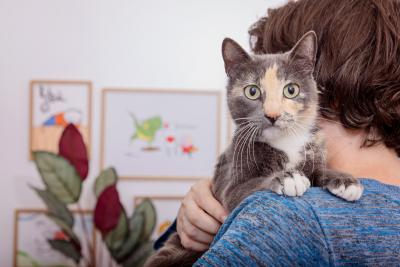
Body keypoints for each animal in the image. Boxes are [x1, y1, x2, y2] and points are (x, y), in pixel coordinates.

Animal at [145, 30, 364, 267]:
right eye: (252, 91)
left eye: (291, 90)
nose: (273, 115)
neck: (286, 142)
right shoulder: (230, 181)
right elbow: (250, 185)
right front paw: (288, 178)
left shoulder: (313, 149)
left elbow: (319, 171)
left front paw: (344, 181)